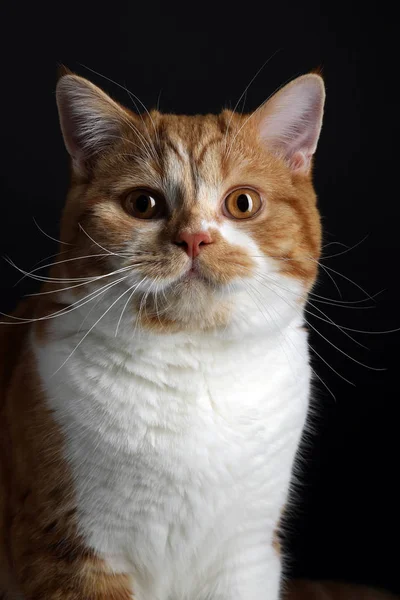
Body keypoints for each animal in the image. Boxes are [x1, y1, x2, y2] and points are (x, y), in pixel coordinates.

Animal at [0, 71, 324, 600]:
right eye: (143, 204)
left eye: (242, 203)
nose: (194, 238)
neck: (194, 363)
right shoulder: (68, 550)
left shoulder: (247, 554)